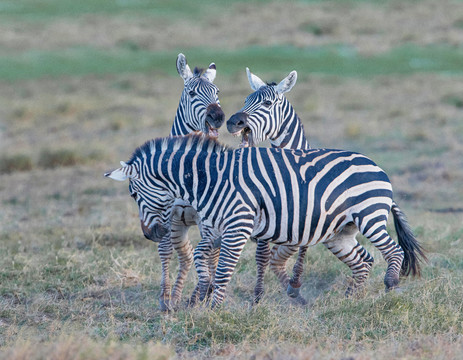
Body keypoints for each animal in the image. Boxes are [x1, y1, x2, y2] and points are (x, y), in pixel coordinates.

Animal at [105, 135, 428, 310]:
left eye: (133, 193)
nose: (151, 234)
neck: (210, 180)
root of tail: (377, 167)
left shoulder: (237, 226)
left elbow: (224, 270)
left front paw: (215, 308)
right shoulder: (216, 230)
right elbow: (200, 256)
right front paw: (202, 293)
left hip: (369, 214)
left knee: (394, 252)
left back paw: (390, 288)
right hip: (340, 232)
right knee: (364, 260)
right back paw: (350, 299)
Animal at [153, 53, 226, 312]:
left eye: (217, 92)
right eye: (192, 93)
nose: (218, 117)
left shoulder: (208, 218)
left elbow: (208, 254)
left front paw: (203, 293)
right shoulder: (166, 216)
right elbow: (166, 251)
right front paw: (165, 299)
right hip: (179, 225)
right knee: (184, 256)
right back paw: (177, 296)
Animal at [228, 67, 312, 304]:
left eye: (267, 104)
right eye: (245, 100)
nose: (233, 122)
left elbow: (302, 247)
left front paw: (295, 285)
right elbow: (262, 256)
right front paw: (257, 296)